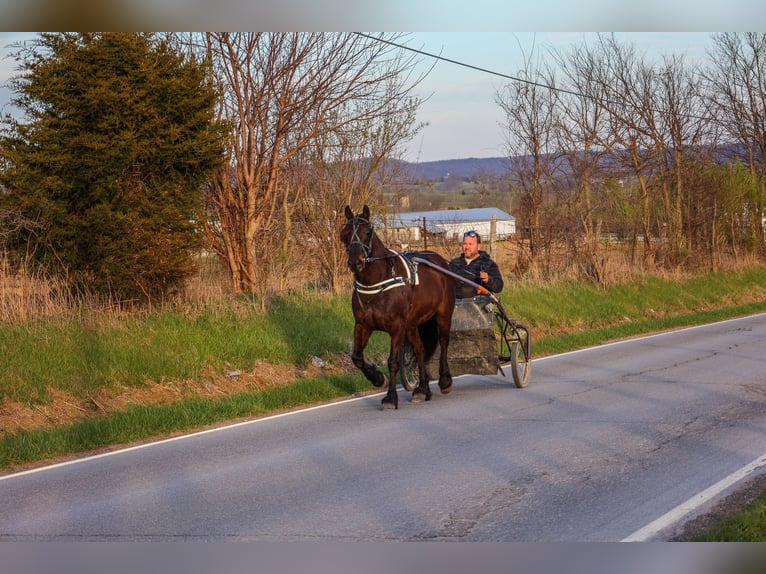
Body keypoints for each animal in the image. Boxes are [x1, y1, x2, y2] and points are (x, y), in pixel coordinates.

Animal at [340, 206, 452, 410]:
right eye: (345, 234)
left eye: (367, 233)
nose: (355, 262)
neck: (378, 282)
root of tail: (440, 261)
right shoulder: (363, 325)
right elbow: (357, 357)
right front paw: (377, 378)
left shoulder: (397, 327)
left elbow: (393, 361)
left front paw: (390, 397)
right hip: (412, 325)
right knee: (420, 350)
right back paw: (422, 390)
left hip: (443, 314)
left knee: (444, 342)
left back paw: (445, 381)